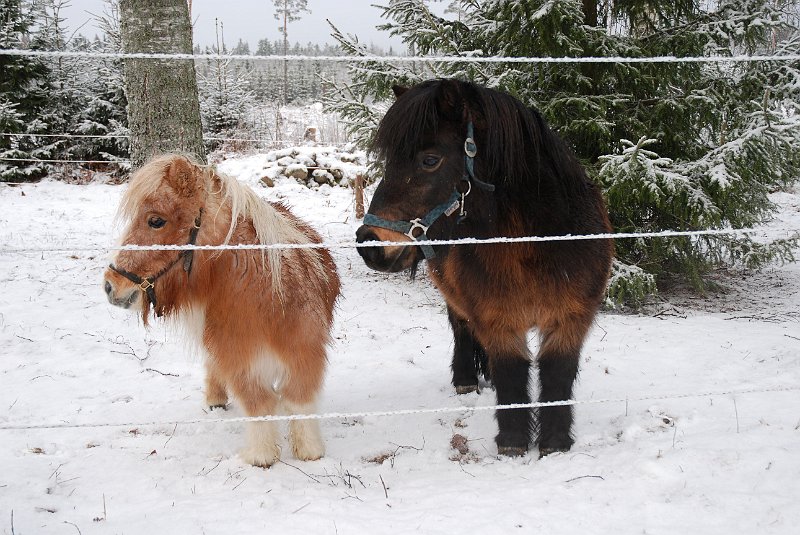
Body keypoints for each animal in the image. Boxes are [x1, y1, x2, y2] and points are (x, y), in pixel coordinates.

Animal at [101, 153, 340, 466]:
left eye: (156, 221)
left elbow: (297, 399)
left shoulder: (304, 351)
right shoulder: (238, 355)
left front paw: (308, 450)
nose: (110, 285)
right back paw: (216, 398)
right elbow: (258, 401)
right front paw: (262, 454)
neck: (269, 294)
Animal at [356, 79, 612, 456]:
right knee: (461, 327)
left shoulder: (571, 318)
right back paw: (465, 379)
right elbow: (511, 373)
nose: (369, 244)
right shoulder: (497, 317)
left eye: (429, 160)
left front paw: (554, 442)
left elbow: (557, 374)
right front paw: (513, 443)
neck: (534, 246)